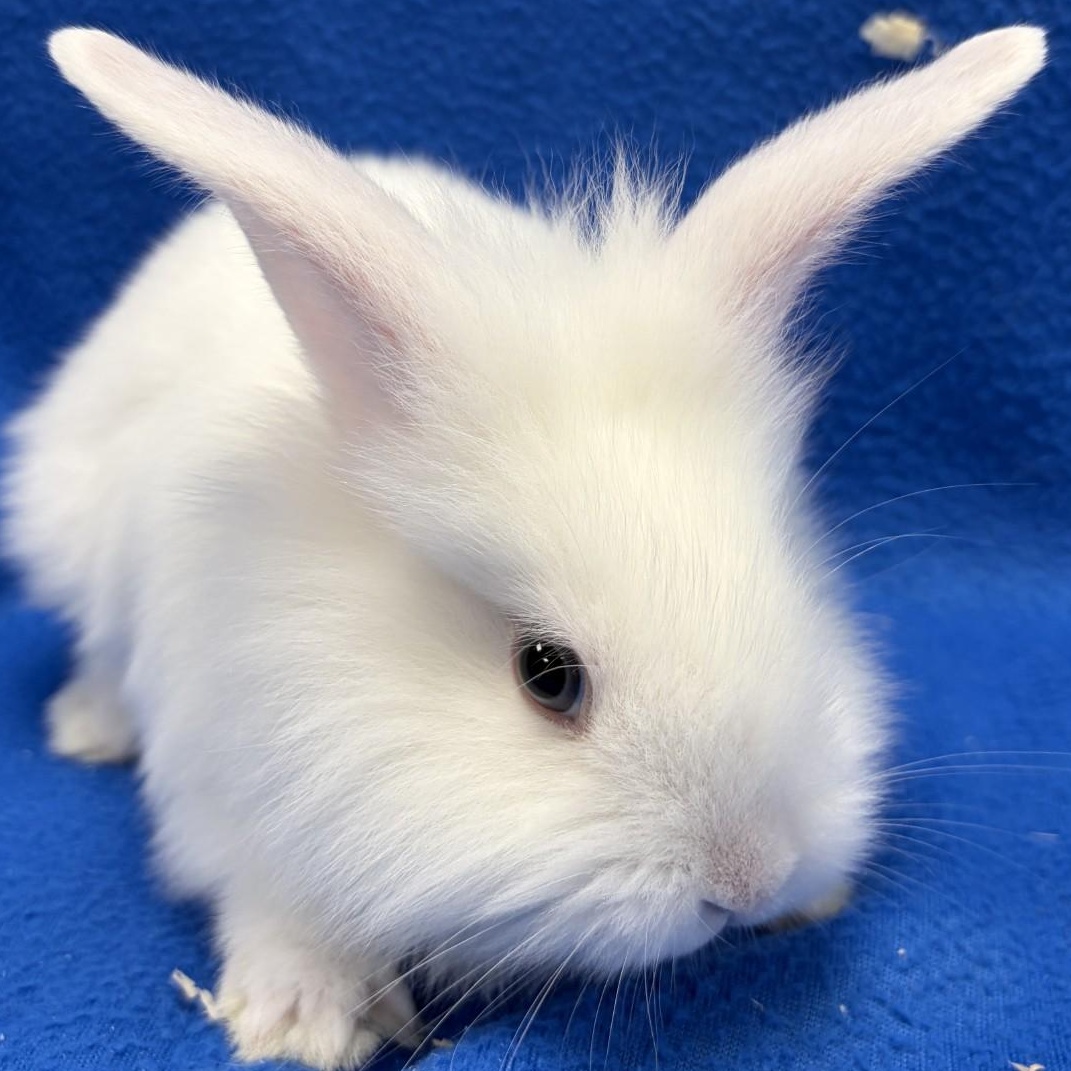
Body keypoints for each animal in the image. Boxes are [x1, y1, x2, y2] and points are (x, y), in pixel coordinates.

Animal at [2, 25, 1045, 1071]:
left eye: (796, 597)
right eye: (546, 674)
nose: (749, 877)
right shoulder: (227, 794)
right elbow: (271, 906)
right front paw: (302, 1021)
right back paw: (87, 727)